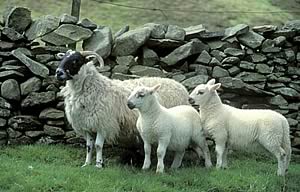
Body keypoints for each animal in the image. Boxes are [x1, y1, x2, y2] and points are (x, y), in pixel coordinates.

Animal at [55, 50, 190, 168]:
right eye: (63, 58)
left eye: (76, 60)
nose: (58, 72)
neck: (94, 88)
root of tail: (181, 86)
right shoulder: (87, 125)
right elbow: (89, 147)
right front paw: (86, 164)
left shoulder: (103, 123)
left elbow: (98, 146)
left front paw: (99, 165)